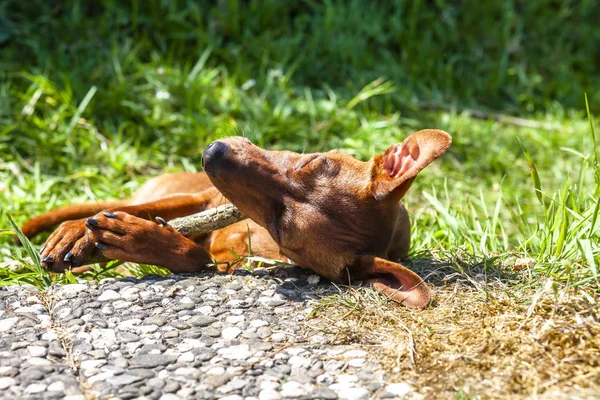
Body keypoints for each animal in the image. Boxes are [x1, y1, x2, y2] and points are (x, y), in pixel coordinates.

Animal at [22, 130, 450, 308]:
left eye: (282, 225)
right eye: (312, 161)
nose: (214, 152)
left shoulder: (232, 264)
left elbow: (196, 257)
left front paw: (137, 239)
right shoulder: (206, 199)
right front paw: (78, 233)